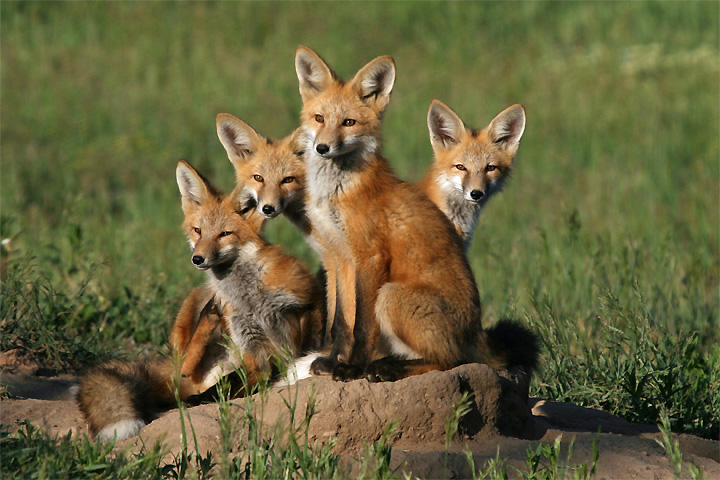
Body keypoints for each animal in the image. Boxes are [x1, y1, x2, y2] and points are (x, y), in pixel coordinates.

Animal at [76, 160, 320, 438]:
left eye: (225, 234)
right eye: (198, 231)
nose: (198, 259)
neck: (248, 298)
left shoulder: (293, 318)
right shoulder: (252, 349)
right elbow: (229, 383)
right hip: (193, 307)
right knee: (185, 365)